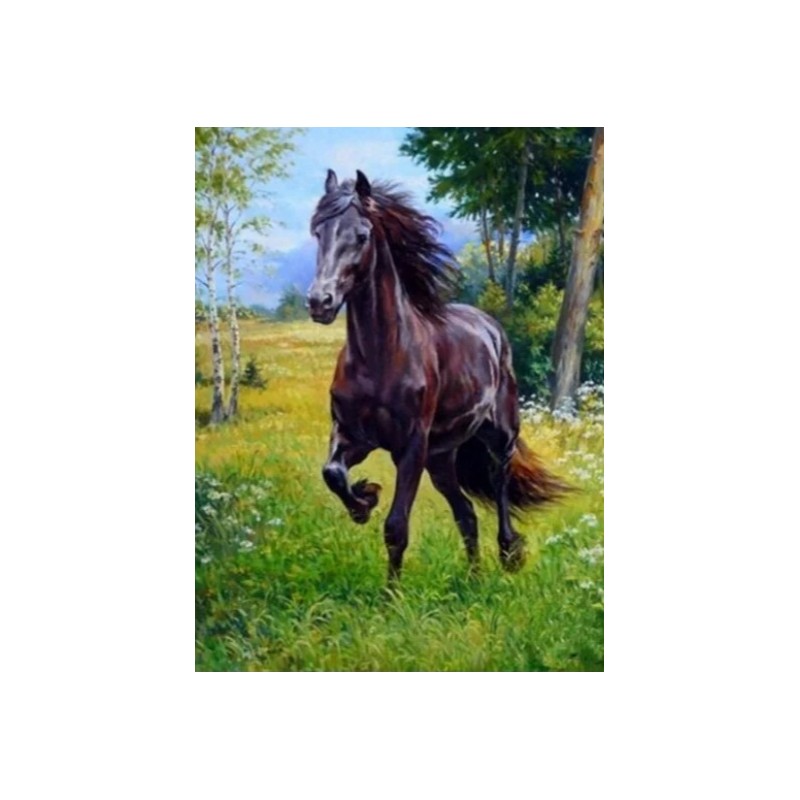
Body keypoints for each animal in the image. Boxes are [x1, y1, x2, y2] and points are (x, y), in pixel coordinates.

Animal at [307, 169, 569, 583]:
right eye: (318, 231)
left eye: (361, 236)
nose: (320, 302)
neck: (380, 357)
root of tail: (490, 327)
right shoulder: (352, 435)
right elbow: (332, 472)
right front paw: (365, 499)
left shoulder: (411, 447)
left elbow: (396, 527)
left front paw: (391, 595)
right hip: (442, 459)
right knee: (467, 514)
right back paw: (474, 579)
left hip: (499, 436)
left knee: (500, 484)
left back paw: (509, 554)